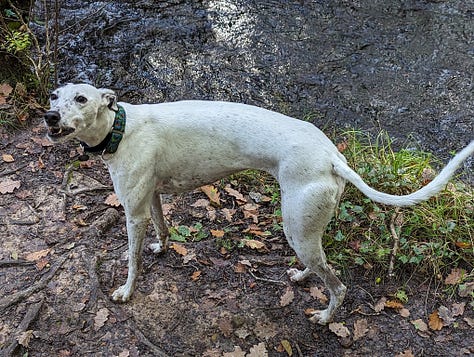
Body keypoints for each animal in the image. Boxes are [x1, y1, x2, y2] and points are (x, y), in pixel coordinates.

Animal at [44, 85, 474, 324]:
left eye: (80, 98)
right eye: (54, 95)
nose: (47, 115)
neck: (122, 127)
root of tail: (333, 157)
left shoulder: (132, 213)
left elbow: (131, 259)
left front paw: (125, 292)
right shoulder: (151, 196)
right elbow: (163, 230)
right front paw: (162, 248)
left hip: (295, 224)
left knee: (339, 286)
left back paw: (324, 317)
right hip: (304, 229)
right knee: (318, 262)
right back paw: (301, 277)